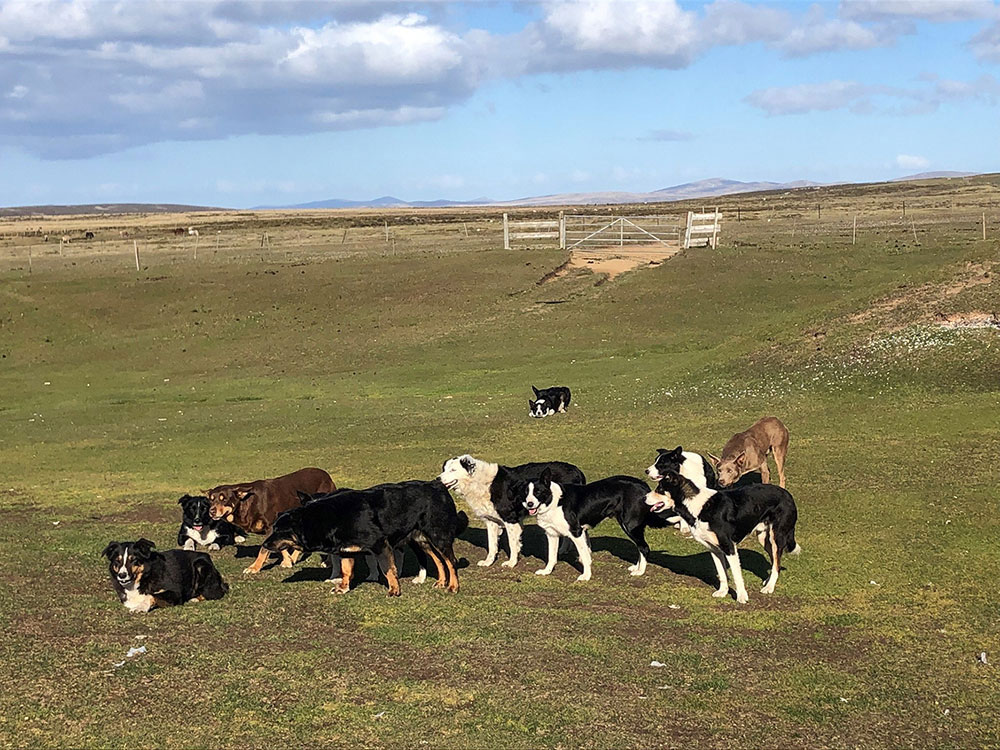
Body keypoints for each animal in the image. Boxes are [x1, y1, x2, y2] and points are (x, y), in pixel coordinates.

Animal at [207, 470, 336, 576]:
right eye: (211, 499)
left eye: (224, 499)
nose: (211, 511)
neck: (248, 502)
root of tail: (327, 475)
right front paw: (288, 560)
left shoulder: (270, 526)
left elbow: (263, 549)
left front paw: (254, 567)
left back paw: (328, 562)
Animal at [438, 452, 584, 568]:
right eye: (444, 469)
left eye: (453, 470)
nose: (438, 479)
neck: (480, 483)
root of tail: (577, 470)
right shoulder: (491, 521)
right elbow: (492, 545)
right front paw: (488, 562)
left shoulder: (510, 519)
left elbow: (512, 543)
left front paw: (512, 562)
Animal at [516, 472, 664, 584]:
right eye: (526, 493)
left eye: (538, 491)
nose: (529, 504)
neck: (554, 501)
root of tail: (643, 485)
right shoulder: (552, 534)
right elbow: (551, 556)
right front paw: (547, 571)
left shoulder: (577, 532)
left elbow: (585, 556)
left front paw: (586, 576)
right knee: (640, 547)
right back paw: (636, 567)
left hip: (629, 525)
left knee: (644, 547)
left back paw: (640, 571)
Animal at [644, 470, 800, 604]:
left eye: (660, 489)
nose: (643, 497)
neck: (697, 506)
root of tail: (787, 494)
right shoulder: (714, 549)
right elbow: (722, 573)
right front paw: (723, 592)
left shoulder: (729, 547)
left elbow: (737, 576)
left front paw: (742, 596)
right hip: (764, 539)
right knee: (775, 563)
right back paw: (768, 582)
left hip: (776, 537)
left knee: (776, 564)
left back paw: (769, 587)